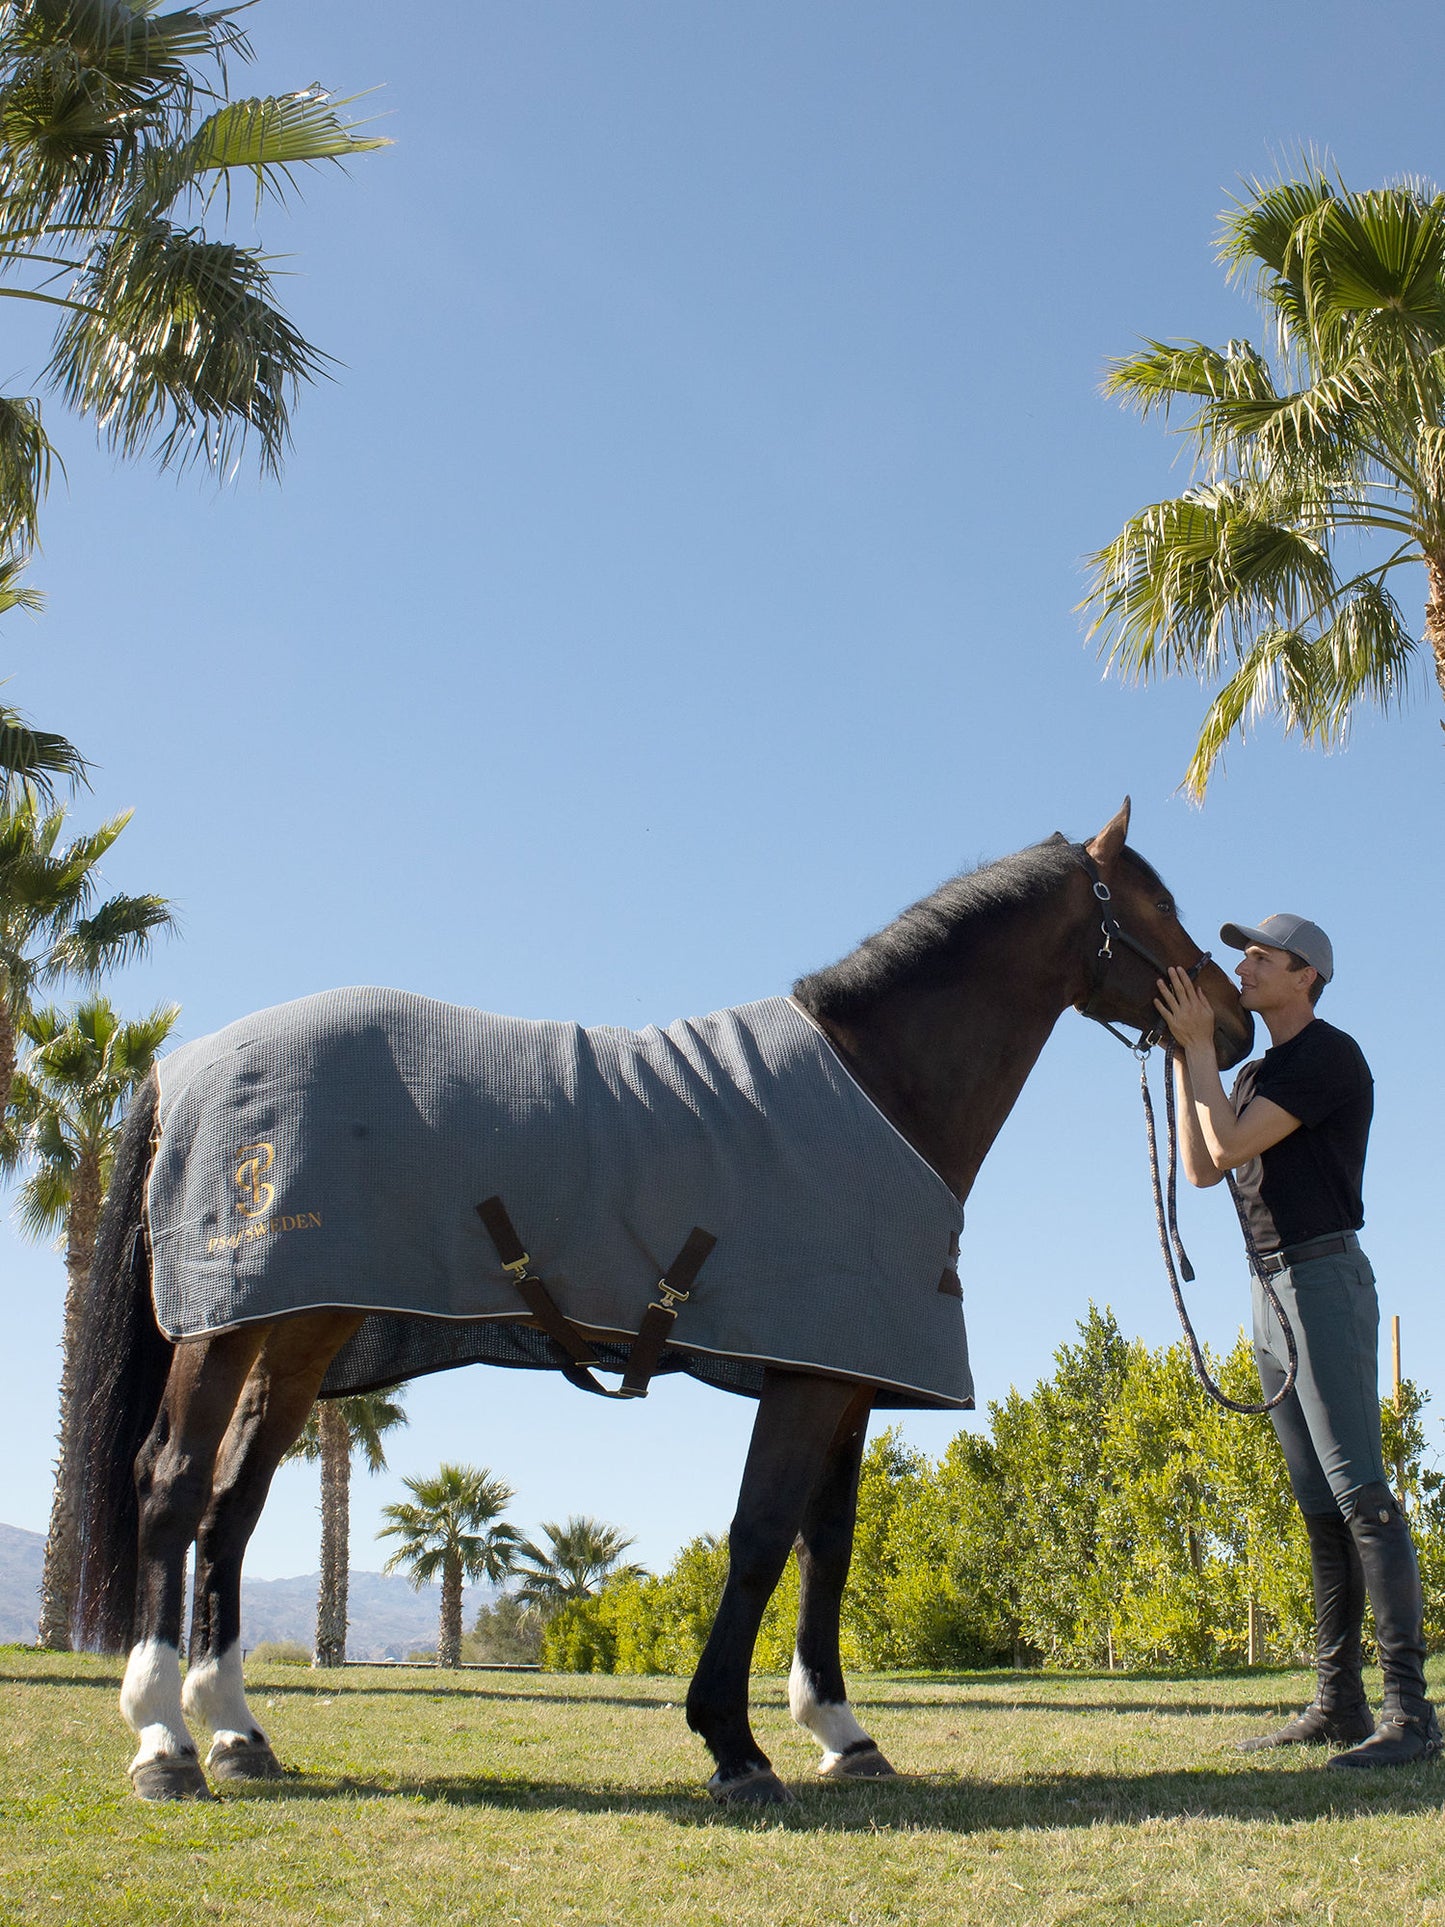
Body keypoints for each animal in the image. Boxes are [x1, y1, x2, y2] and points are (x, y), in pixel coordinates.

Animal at [67, 797, 1248, 1803]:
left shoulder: (847, 1371)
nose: (1232, 1024)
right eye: (1154, 907)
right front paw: (734, 1744)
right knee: (172, 1486)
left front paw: (840, 1732)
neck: (874, 1089)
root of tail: (181, 1064)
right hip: (225, 1327)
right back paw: (164, 1739)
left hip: (303, 1329)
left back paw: (237, 1731)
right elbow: (760, 1534)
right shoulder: (808, 1375)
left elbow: (827, 1543)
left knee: (232, 1502)